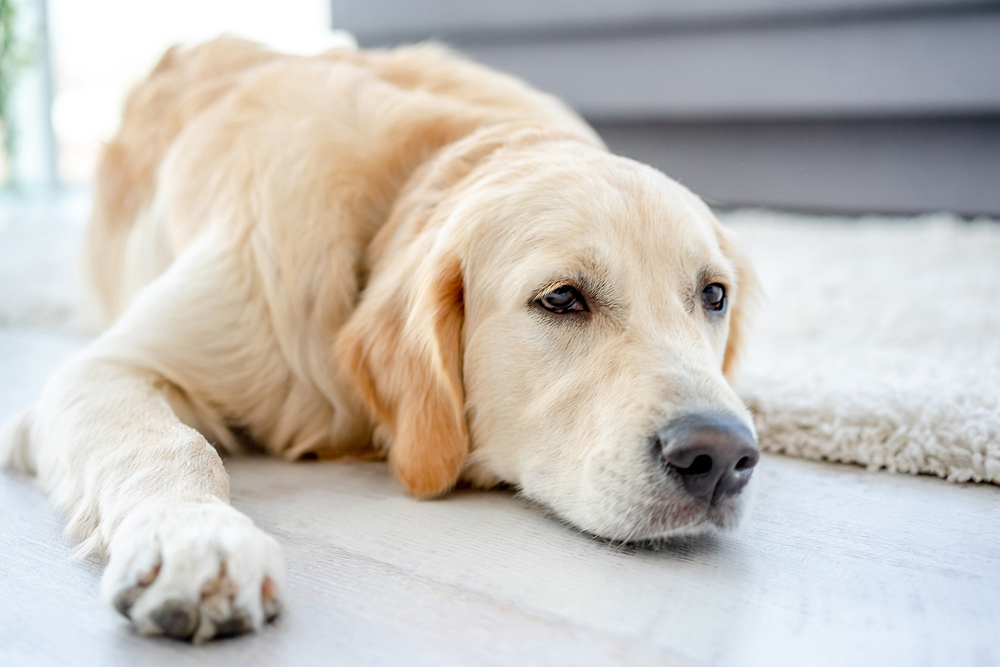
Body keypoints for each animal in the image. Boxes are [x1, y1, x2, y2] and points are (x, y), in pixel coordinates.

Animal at [0, 39, 760, 644]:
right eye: (561, 298)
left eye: (713, 295)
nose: (721, 456)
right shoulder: (106, 367)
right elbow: (167, 442)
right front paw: (194, 538)